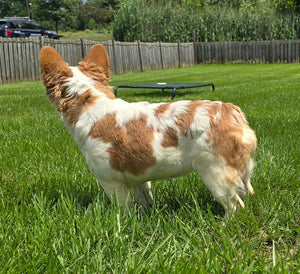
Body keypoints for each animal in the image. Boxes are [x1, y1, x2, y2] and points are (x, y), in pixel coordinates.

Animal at [38, 44, 256, 214]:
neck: (92, 104)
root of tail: (232, 112)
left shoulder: (111, 183)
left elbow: (122, 210)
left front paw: (121, 225)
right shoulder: (139, 179)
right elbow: (145, 201)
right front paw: (145, 218)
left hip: (215, 173)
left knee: (235, 206)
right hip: (242, 172)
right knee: (247, 193)